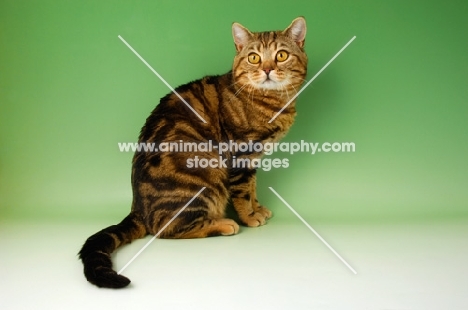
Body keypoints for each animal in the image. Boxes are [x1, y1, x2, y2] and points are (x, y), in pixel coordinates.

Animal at [78, 17, 308, 288]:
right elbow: (243, 193)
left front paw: (258, 208)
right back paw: (223, 224)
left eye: (281, 55)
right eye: (254, 58)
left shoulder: (253, 159)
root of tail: (137, 209)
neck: (273, 102)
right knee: (165, 229)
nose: (268, 69)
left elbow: (252, 189)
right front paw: (250, 216)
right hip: (206, 173)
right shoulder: (241, 156)